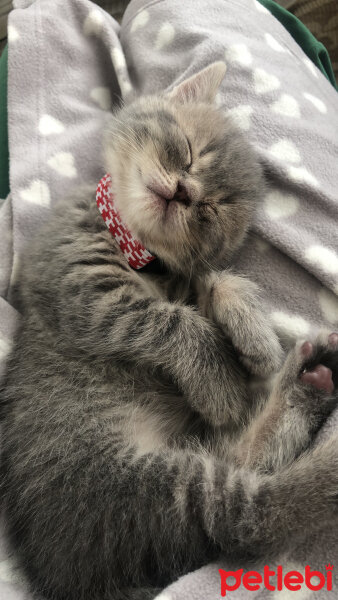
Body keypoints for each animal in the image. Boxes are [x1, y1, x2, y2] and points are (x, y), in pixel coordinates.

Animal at [0, 62, 338, 600]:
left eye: (212, 209)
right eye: (188, 150)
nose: (185, 192)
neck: (140, 252)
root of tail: (67, 580)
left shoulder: (164, 281)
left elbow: (212, 281)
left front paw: (253, 335)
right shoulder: (82, 287)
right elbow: (171, 320)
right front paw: (221, 384)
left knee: (245, 481)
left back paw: (307, 380)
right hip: (141, 497)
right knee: (250, 514)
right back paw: (317, 413)